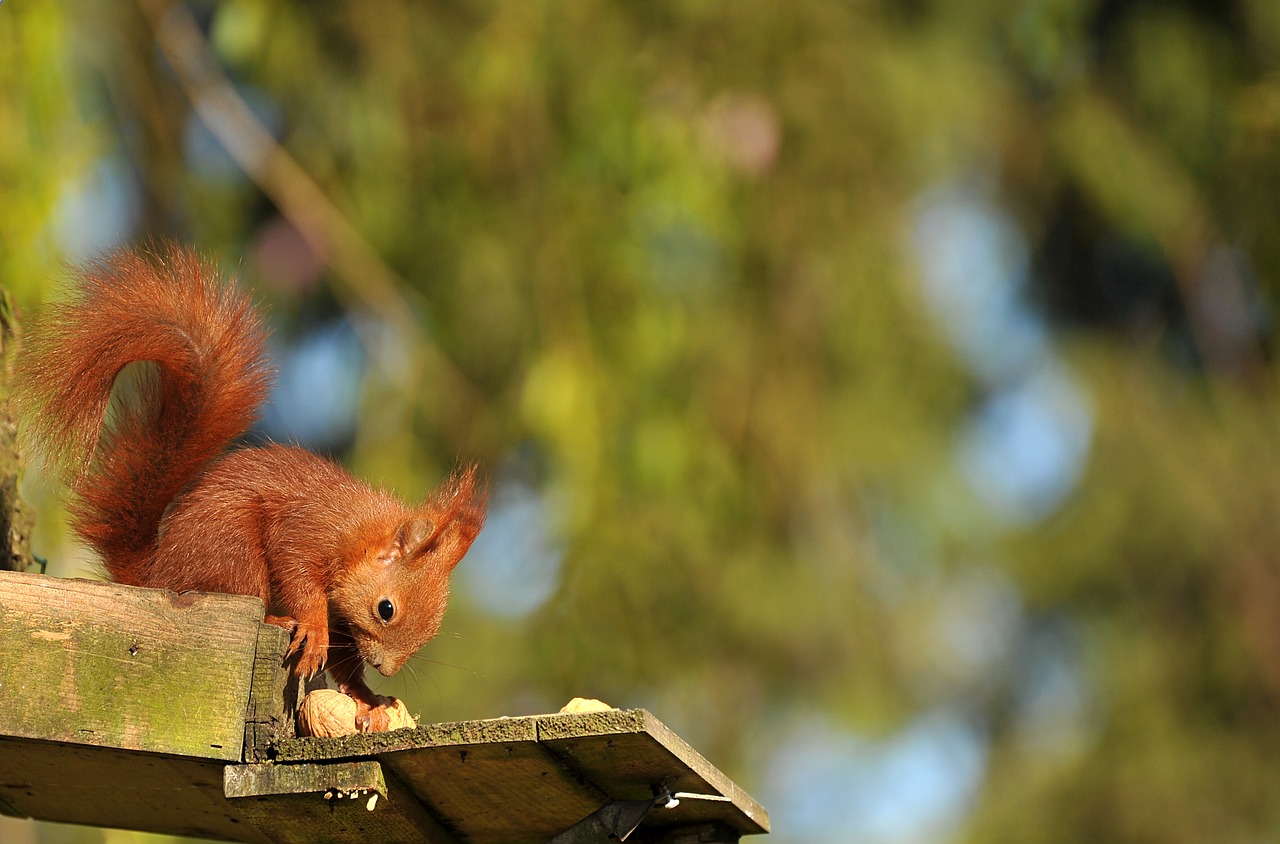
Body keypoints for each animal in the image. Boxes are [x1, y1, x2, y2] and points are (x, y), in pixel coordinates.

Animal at [17, 244, 486, 732]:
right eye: (386, 609)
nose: (387, 668)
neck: (357, 531)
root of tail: (157, 575)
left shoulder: (344, 613)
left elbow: (343, 655)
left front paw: (367, 696)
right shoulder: (304, 528)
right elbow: (298, 576)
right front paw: (313, 627)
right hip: (233, 550)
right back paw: (279, 618)